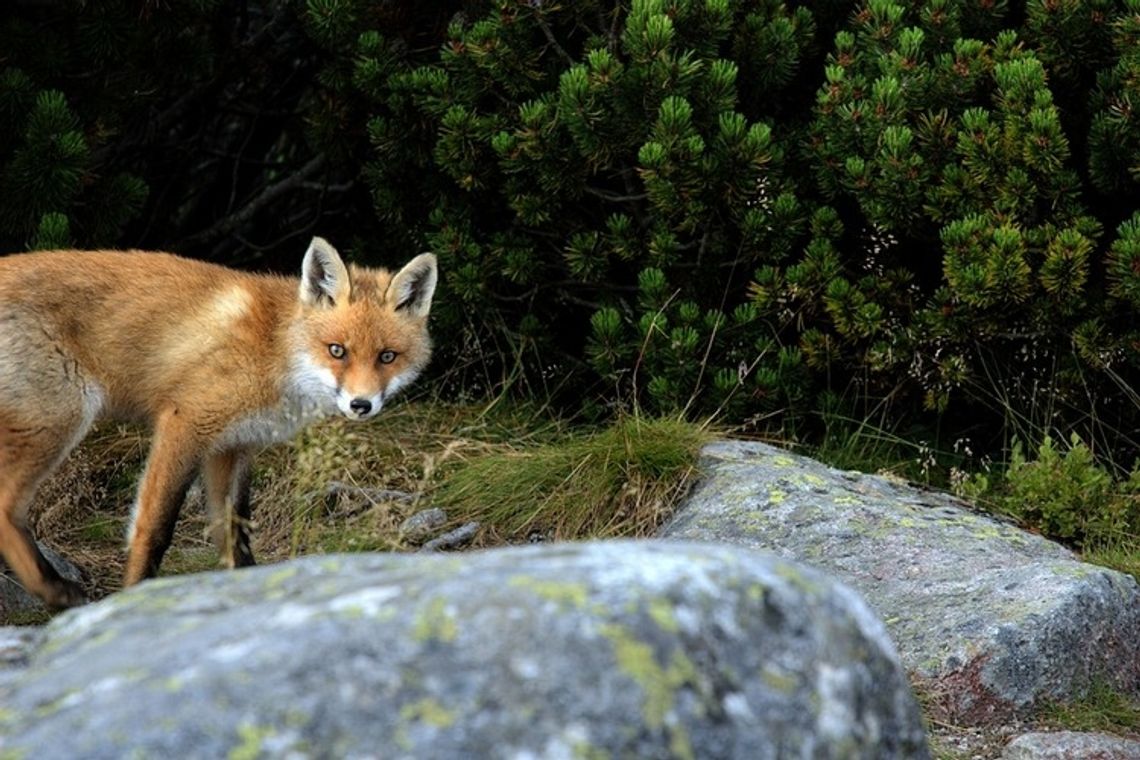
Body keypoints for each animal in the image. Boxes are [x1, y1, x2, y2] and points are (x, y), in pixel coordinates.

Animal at [0, 238, 435, 610]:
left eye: (387, 356)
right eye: (337, 351)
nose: (361, 405)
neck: (274, 349)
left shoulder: (232, 447)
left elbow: (235, 536)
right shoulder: (186, 423)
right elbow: (154, 529)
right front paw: (135, 595)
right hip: (59, 419)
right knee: (7, 506)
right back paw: (54, 590)